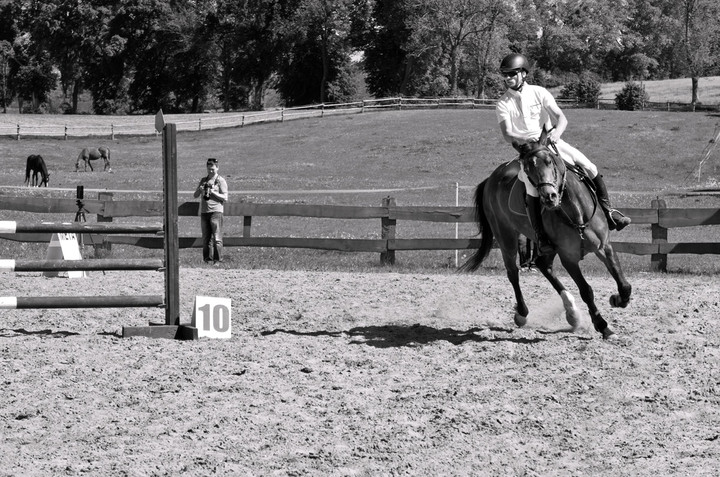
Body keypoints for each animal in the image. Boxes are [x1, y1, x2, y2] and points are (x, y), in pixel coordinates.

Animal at [462, 128, 632, 340]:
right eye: (527, 168)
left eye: (550, 160)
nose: (549, 197)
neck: (576, 211)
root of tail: (492, 178)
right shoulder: (568, 257)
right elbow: (586, 291)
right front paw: (603, 326)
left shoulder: (604, 246)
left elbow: (624, 284)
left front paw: (618, 300)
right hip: (506, 236)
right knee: (513, 272)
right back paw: (523, 314)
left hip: (545, 245)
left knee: (543, 265)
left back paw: (572, 313)